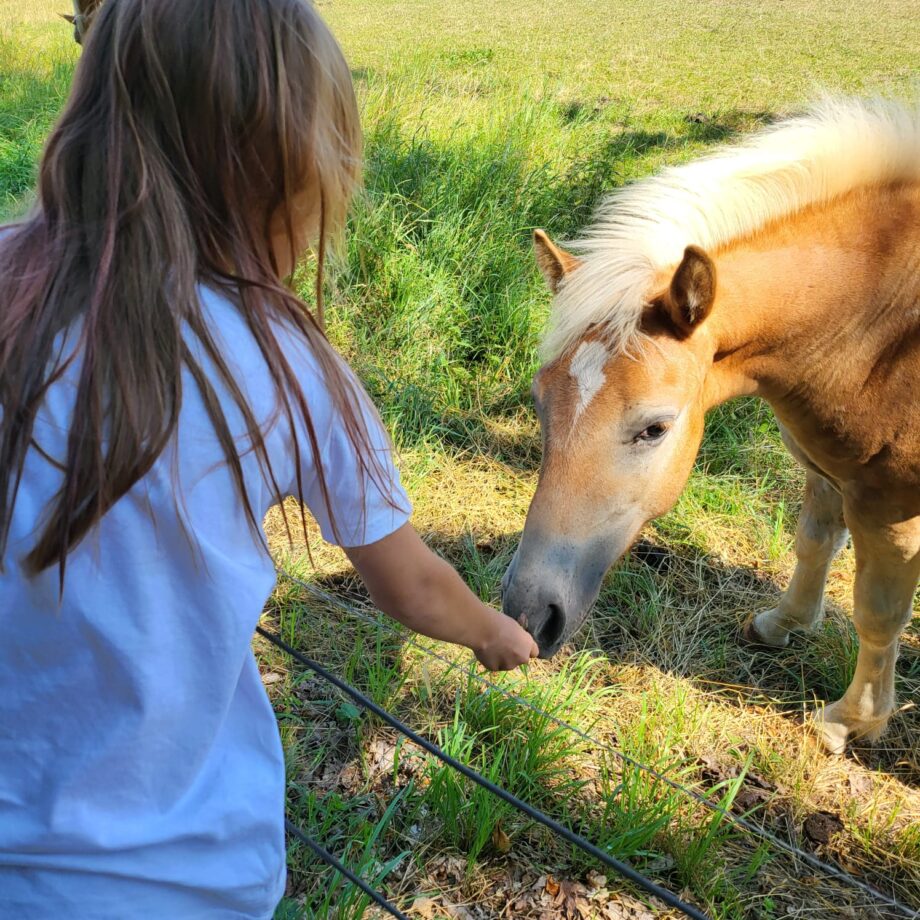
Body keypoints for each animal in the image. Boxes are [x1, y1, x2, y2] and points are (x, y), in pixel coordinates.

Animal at [504, 95, 920, 756]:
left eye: (655, 428)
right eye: (540, 405)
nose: (527, 616)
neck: (884, 331)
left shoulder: (890, 510)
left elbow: (877, 613)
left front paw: (849, 721)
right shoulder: (827, 468)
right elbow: (814, 541)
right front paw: (783, 623)